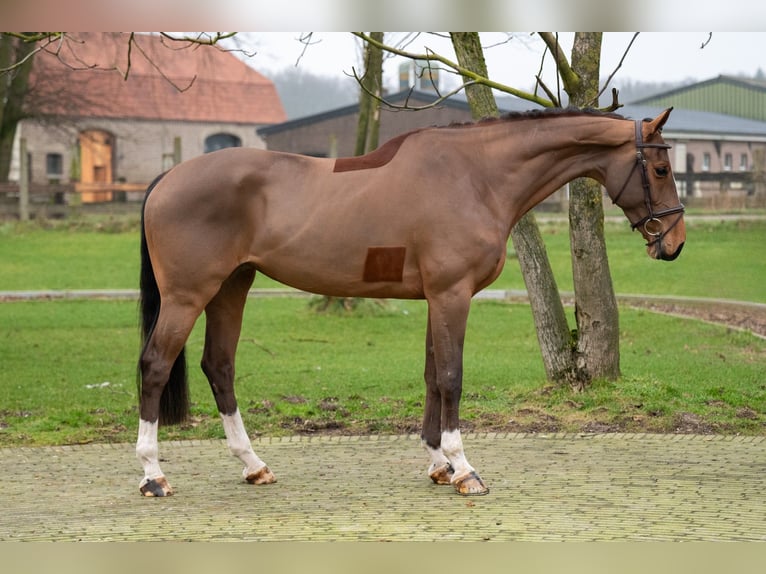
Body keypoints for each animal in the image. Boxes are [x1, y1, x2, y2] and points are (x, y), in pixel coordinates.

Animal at [135, 109, 688, 500]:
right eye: (661, 167)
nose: (675, 243)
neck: (476, 175)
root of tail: (167, 179)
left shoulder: (434, 298)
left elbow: (431, 376)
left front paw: (440, 465)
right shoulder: (451, 295)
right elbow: (451, 377)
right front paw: (465, 470)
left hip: (233, 286)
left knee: (219, 366)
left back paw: (255, 466)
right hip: (188, 295)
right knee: (155, 365)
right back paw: (153, 476)